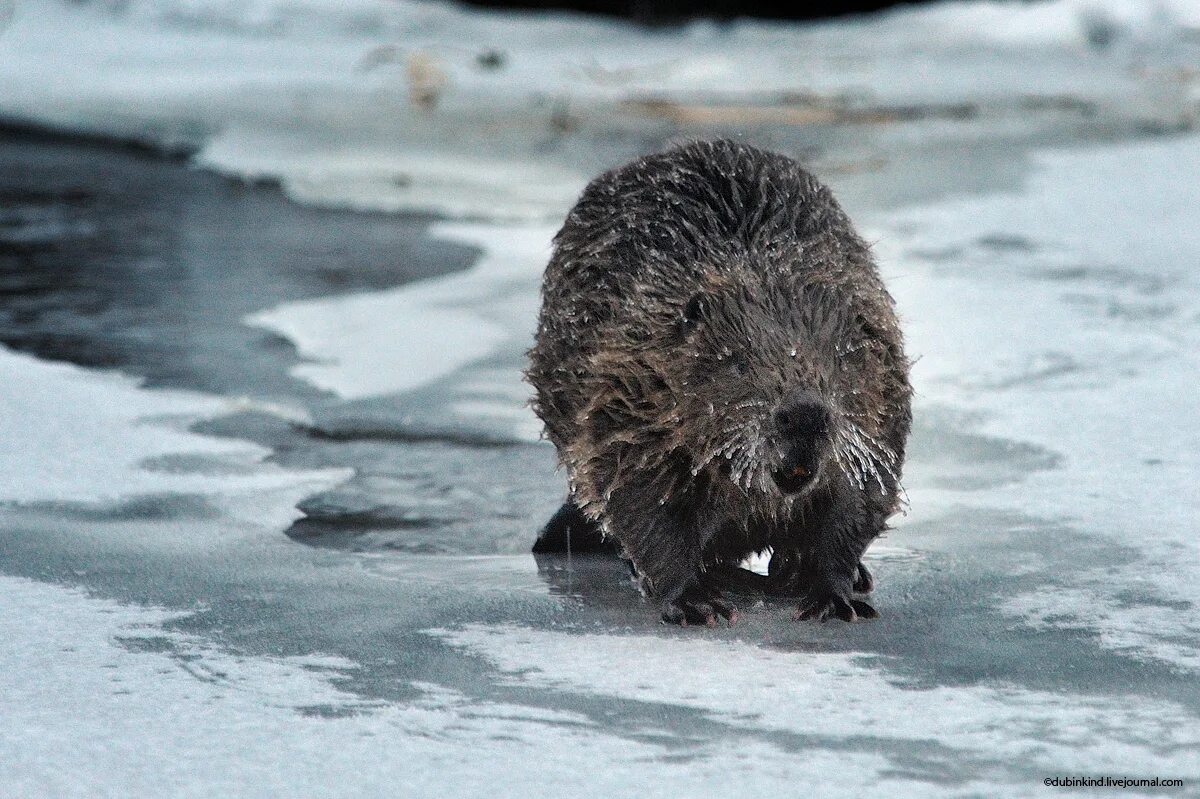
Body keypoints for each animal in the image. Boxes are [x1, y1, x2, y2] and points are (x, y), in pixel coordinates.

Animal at [525, 139, 907, 623]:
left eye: (837, 363)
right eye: (739, 364)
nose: (805, 413)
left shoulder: (884, 404)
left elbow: (857, 499)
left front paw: (835, 597)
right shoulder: (628, 391)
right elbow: (642, 502)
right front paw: (694, 602)